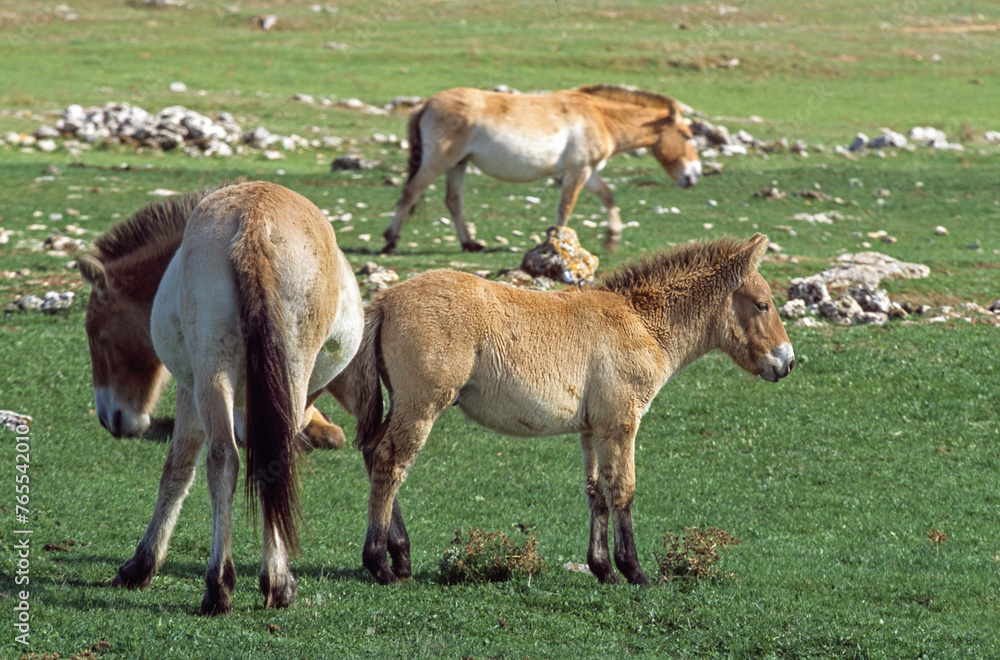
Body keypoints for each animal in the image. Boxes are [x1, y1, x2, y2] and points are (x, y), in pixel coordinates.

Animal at [352, 234, 793, 586]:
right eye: (762, 305)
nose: (787, 362)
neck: (641, 324)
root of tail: (386, 301)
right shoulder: (621, 423)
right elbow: (623, 490)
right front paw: (634, 571)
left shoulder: (593, 430)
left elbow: (596, 491)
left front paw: (604, 569)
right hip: (423, 405)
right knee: (391, 463)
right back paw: (380, 565)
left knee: (374, 453)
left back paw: (400, 556)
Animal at [381, 85, 702, 254]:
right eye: (687, 136)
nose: (694, 176)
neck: (599, 117)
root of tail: (426, 104)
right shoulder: (578, 171)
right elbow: (566, 207)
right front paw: (557, 245)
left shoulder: (588, 172)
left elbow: (608, 197)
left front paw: (612, 239)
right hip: (439, 161)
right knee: (411, 192)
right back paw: (390, 241)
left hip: (458, 164)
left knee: (453, 201)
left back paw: (470, 243)